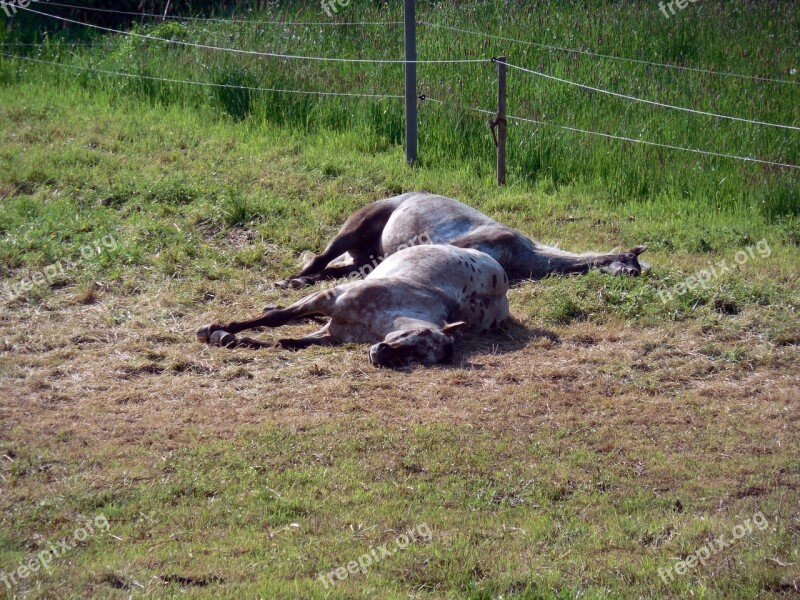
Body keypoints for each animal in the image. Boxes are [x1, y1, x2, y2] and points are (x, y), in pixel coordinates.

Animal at [197, 243, 510, 366]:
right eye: (418, 334)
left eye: (420, 359)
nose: (382, 353)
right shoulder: (328, 298)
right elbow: (279, 320)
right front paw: (218, 328)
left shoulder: (332, 335)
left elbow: (284, 343)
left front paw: (231, 339)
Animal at [278, 190, 648, 288]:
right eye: (627, 259)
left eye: (638, 265)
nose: (634, 274)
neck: (520, 252)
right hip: (355, 229)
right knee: (320, 259)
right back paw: (290, 281)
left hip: (363, 256)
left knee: (337, 269)